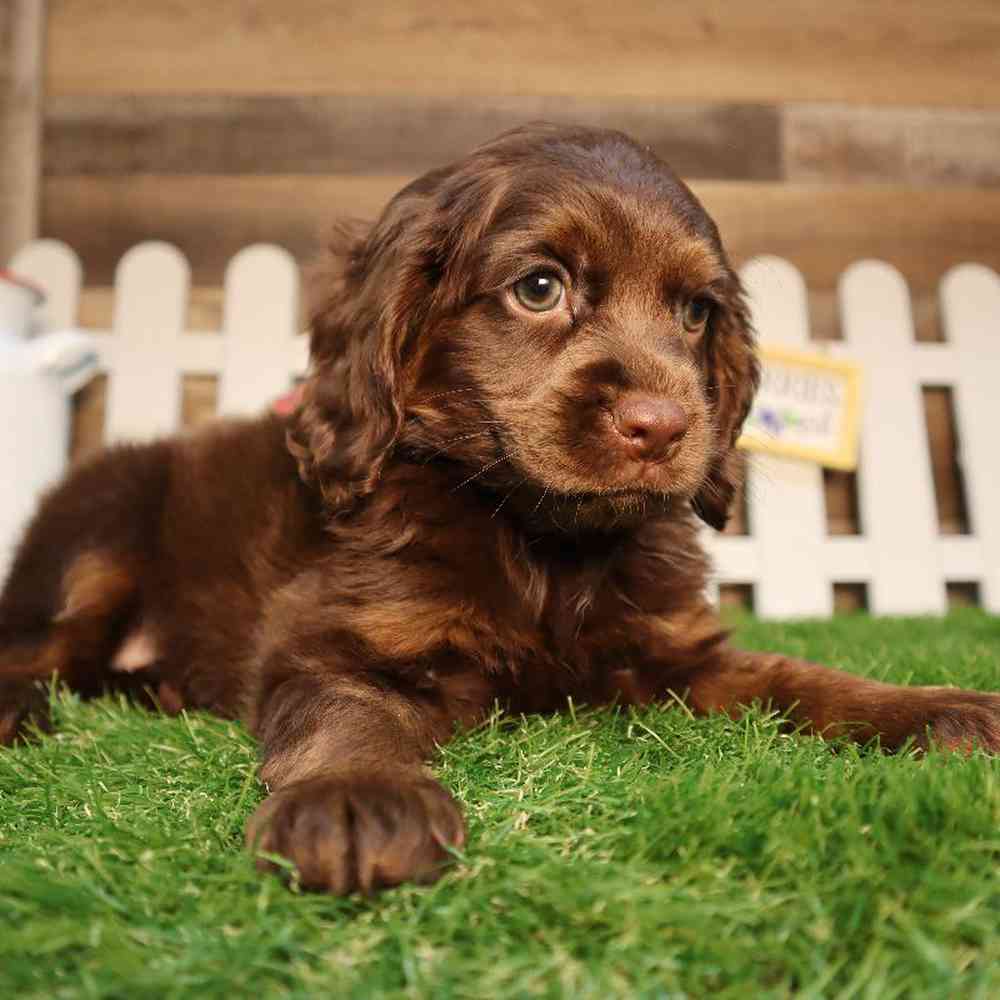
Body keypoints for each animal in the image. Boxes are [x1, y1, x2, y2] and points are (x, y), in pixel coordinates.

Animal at [1, 123, 1000, 892]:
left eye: (694, 313)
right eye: (539, 287)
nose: (664, 426)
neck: (540, 540)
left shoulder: (680, 652)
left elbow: (801, 678)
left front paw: (938, 707)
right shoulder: (331, 636)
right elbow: (347, 712)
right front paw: (357, 800)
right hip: (97, 534)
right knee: (37, 646)